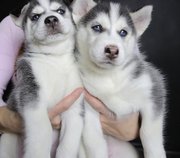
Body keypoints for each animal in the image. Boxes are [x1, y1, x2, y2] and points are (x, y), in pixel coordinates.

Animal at [0, 0, 83, 158]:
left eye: (60, 11)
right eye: (36, 16)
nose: (51, 19)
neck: (55, 57)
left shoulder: (74, 105)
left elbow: (69, 140)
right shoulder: (31, 92)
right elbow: (43, 129)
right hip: (7, 141)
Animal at [71, 0, 166, 158]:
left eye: (123, 32)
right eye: (97, 27)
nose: (112, 50)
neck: (109, 76)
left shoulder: (153, 89)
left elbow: (148, 132)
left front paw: (156, 153)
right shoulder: (87, 103)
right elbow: (93, 140)